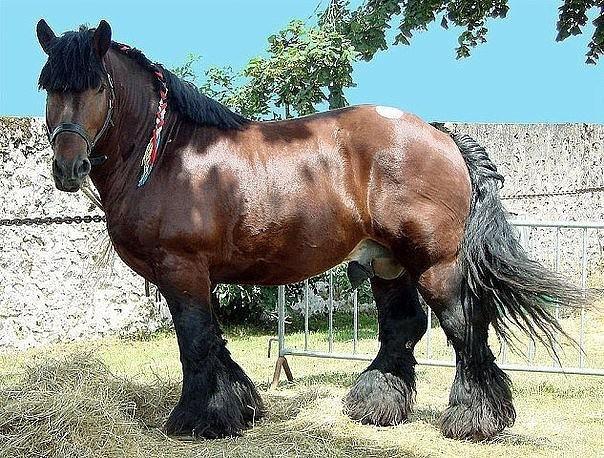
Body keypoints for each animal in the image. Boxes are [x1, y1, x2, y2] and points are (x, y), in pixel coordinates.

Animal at [35, 20, 584, 440]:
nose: (67, 167)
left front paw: (197, 419)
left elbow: (194, 341)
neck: (171, 154)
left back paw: (473, 419)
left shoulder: (182, 269)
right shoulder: (198, 276)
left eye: (96, 86)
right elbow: (214, 342)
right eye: (49, 87)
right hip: (386, 261)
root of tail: (441, 135)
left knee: (464, 326)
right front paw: (238, 408)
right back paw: (376, 404)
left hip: (435, 263)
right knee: (403, 326)